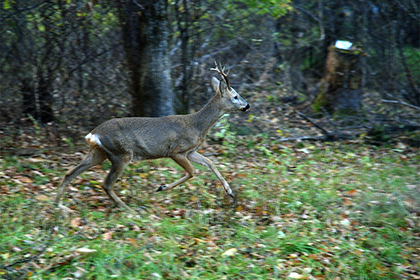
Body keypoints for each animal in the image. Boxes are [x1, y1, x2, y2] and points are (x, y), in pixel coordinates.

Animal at [55, 62, 249, 211]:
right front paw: (162, 187)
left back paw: (58, 206)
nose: (247, 105)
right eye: (235, 96)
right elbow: (193, 172)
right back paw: (128, 208)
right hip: (121, 153)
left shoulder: (191, 151)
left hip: (99, 153)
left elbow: (210, 163)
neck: (197, 125)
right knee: (107, 183)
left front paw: (230, 192)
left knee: (70, 173)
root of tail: (93, 134)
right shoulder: (176, 151)